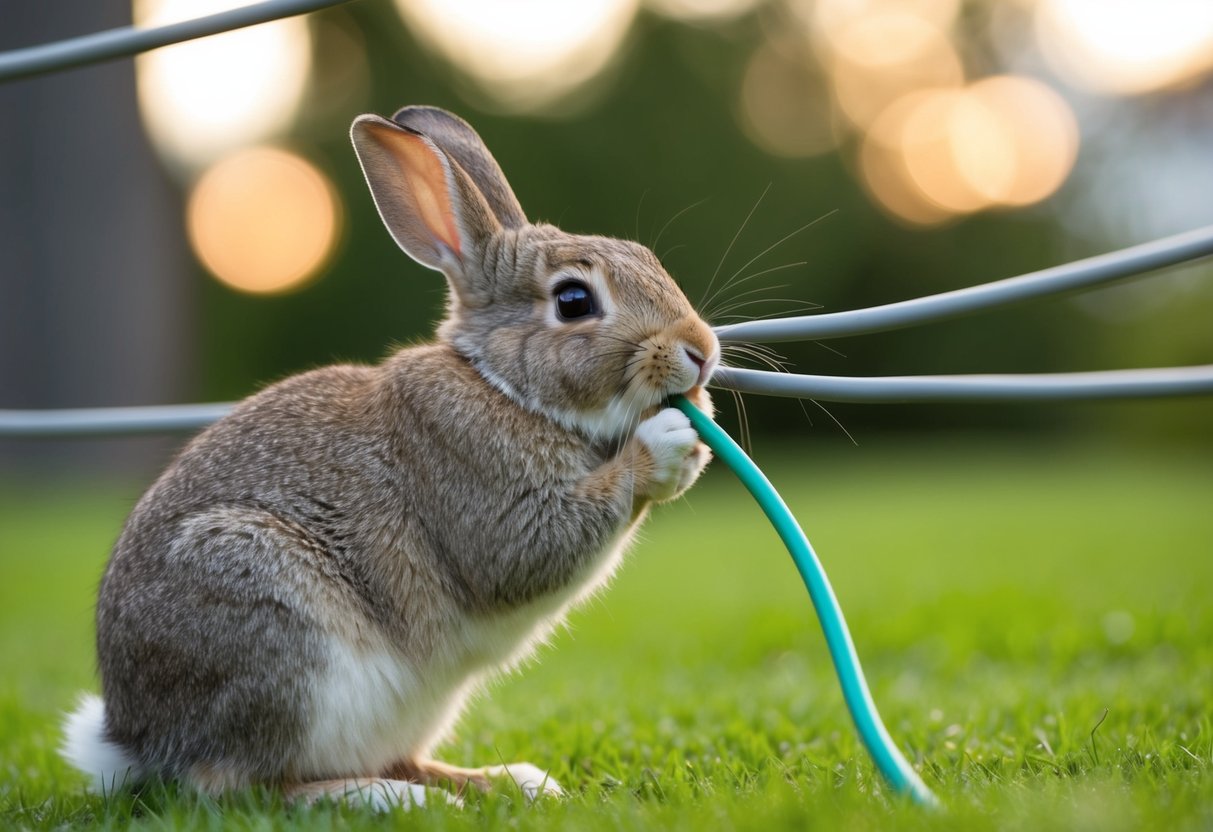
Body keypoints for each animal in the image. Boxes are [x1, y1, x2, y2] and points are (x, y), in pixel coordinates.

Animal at [60, 105, 719, 809]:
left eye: (647, 259)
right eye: (574, 301)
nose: (701, 351)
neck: (504, 387)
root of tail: (135, 740)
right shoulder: (495, 507)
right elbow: (544, 541)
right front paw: (668, 442)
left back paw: (508, 781)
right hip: (276, 634)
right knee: (242, 786)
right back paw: (391, 798)